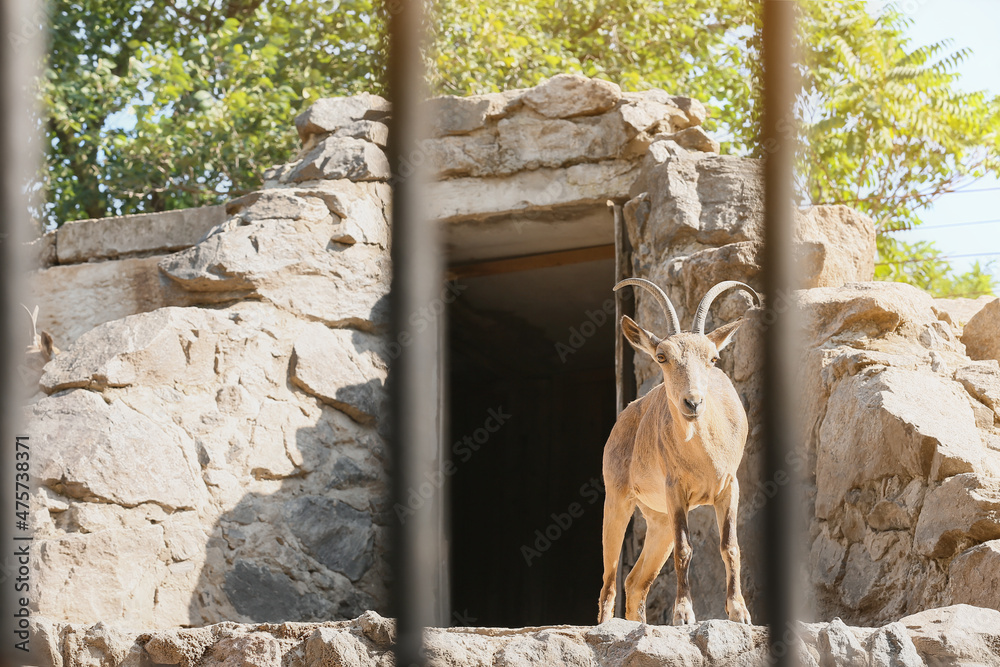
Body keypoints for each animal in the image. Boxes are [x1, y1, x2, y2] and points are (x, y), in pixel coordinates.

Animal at [596, 276, 752, 628]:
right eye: (662, 356)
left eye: (713, 358)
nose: (692, 402)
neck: (704, 457)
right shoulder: (675, 490)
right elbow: (685, 549)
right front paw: (683, 614)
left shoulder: (729, 487)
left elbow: (731, 546)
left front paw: (739, 612)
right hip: (618, 499)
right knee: (610, 579)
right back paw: (607, 626)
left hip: (658, 521)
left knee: (635, 582)